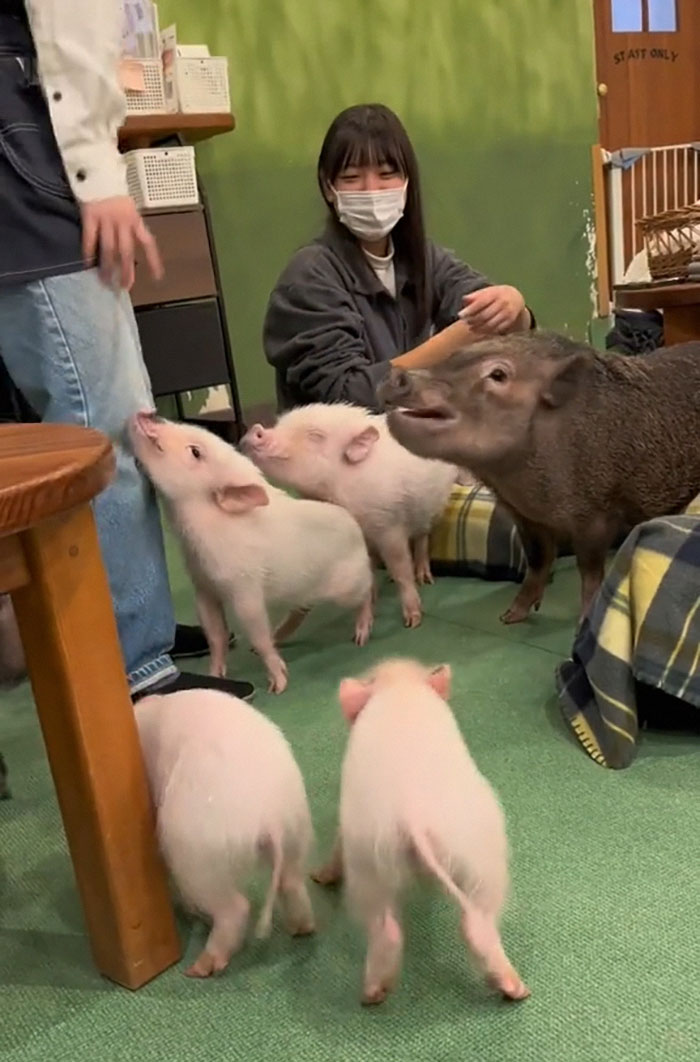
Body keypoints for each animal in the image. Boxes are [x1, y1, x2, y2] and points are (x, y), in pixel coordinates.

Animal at [128, 412, 374, 693]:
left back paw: (361, 635)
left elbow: (257, 632)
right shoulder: (203, 587)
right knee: (301, 609)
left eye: (195, 452)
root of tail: (352, 520)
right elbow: (215, 635)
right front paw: (215, 675)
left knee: (367, 591)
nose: (149, 415)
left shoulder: (245, 588)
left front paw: (278, 686)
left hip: (349, 584)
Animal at [134, 688, 316, 977]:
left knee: (236, 908)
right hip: (295, 837)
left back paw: (199, 968)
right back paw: (302, 929)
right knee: (292, 883)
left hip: (195, 857)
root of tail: (271, 816)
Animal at [240, 404, 458, 629]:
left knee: (423, 537)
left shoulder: (389, 525)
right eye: (279, 423)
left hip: (433, 507)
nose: (256, 429)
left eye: (315, 436)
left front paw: (413, 621)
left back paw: (424, 578)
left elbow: (401, 569)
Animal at [312, 658, 529, 1006]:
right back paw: (517, 989)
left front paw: (318, 878)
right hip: (481, 855)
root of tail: (412, 812)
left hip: (369, 861)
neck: (399, 686)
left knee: (385, 926)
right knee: (477, 919)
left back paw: (372, 994)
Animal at [378, 332, 700, 622]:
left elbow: (589, 570)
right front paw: (509, 617)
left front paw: (582, 622)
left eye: (498, 374)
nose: (398, 375)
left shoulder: (597, 513)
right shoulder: (525, 518)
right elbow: (537, 560)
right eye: (453, 355)